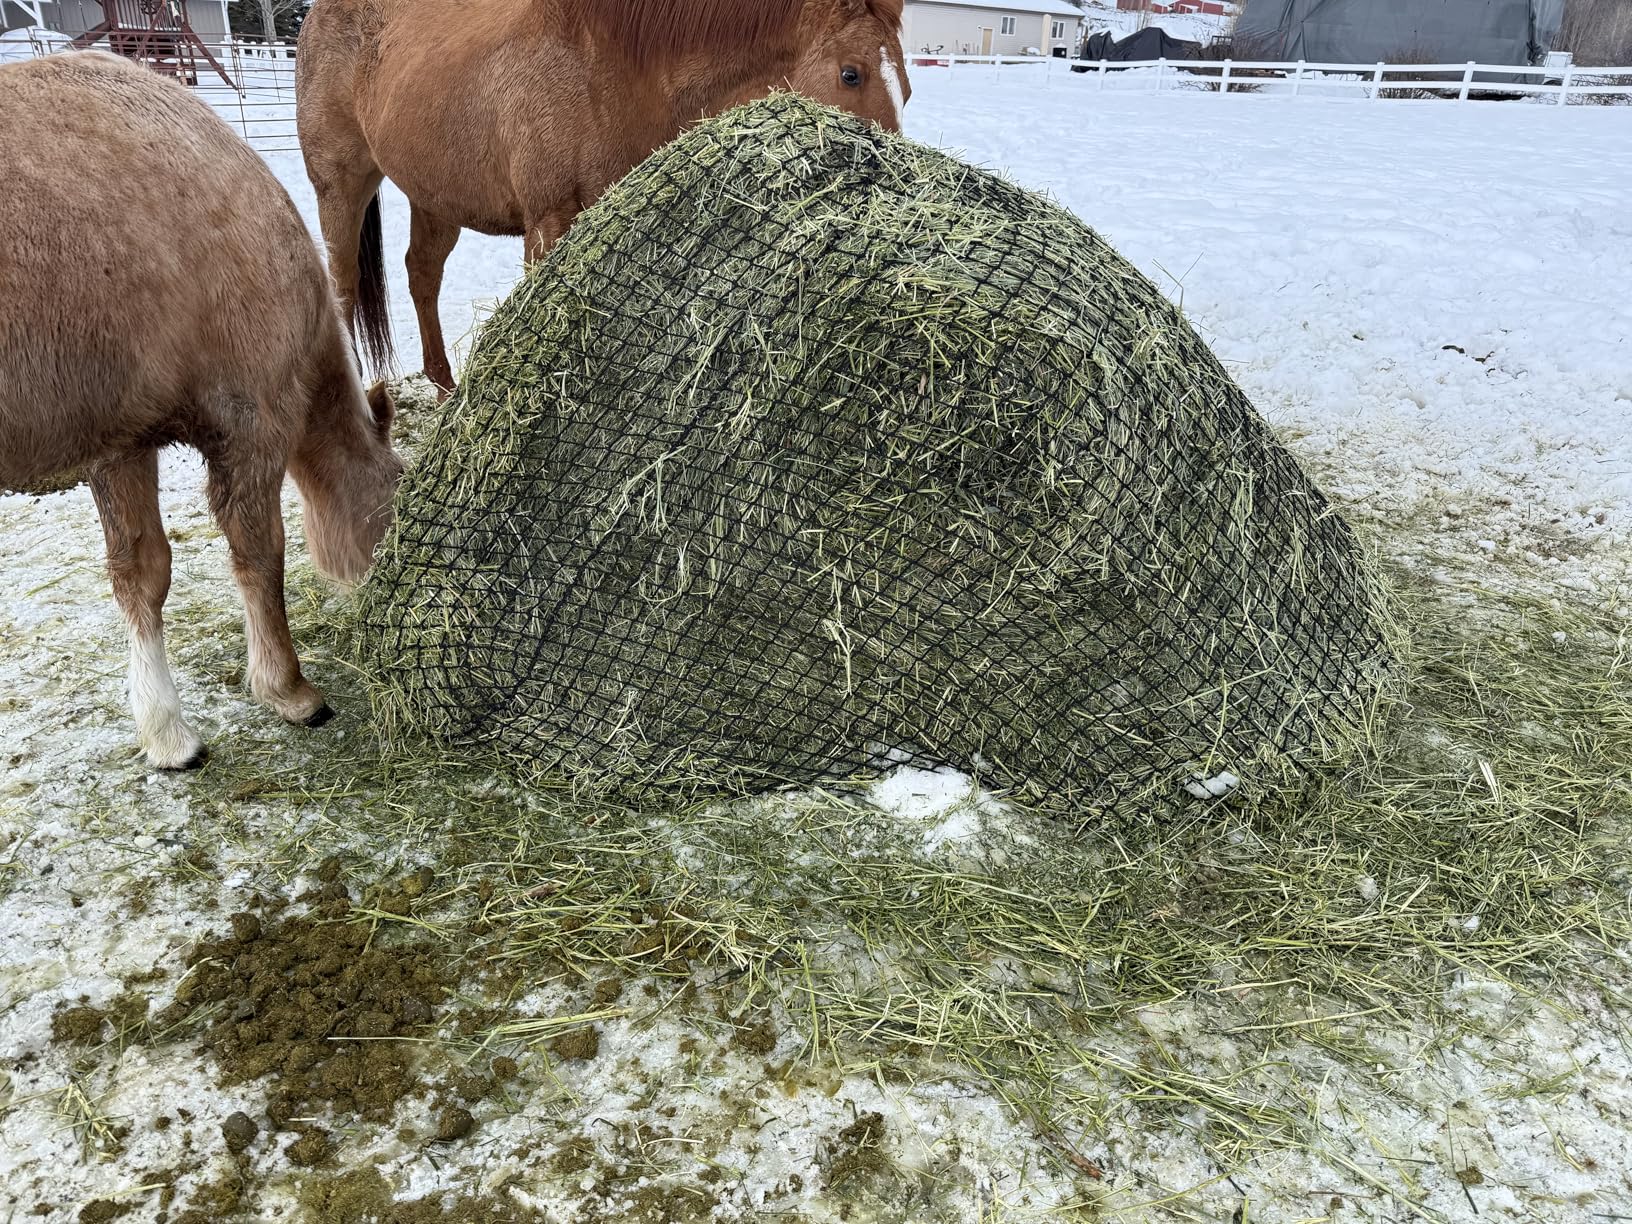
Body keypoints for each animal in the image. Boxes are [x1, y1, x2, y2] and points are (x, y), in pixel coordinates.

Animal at [0, 52, 403, 770]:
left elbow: (140, 574)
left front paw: (166, 733)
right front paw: (289, 690)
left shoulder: (122, 445)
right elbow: (259, 555)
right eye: (399, 486)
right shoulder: (251, 427)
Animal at [295, 0, 911, 394]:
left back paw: (447, 389)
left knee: (422, 276)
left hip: (435, 195)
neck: (611, 67)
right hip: (341, 185)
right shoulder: (549, 223)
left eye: (904, 87)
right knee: (343, 284)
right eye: (851, 74)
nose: (892, 179)